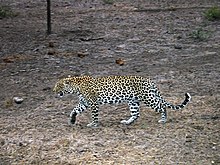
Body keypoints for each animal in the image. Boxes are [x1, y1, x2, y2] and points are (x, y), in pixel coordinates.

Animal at [53, 75, 191, 127]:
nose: (53, 91)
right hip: (133, 101)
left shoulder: (93, 103)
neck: (76, 87)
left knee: (162, 106)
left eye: (58, 86)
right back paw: (127, 122)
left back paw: (163, 119)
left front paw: (93, 124)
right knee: (136, 114)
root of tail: (149, 80)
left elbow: (94, 115)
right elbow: (74, 110)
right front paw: (72, 120)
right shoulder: (84, 103)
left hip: (148, 98)